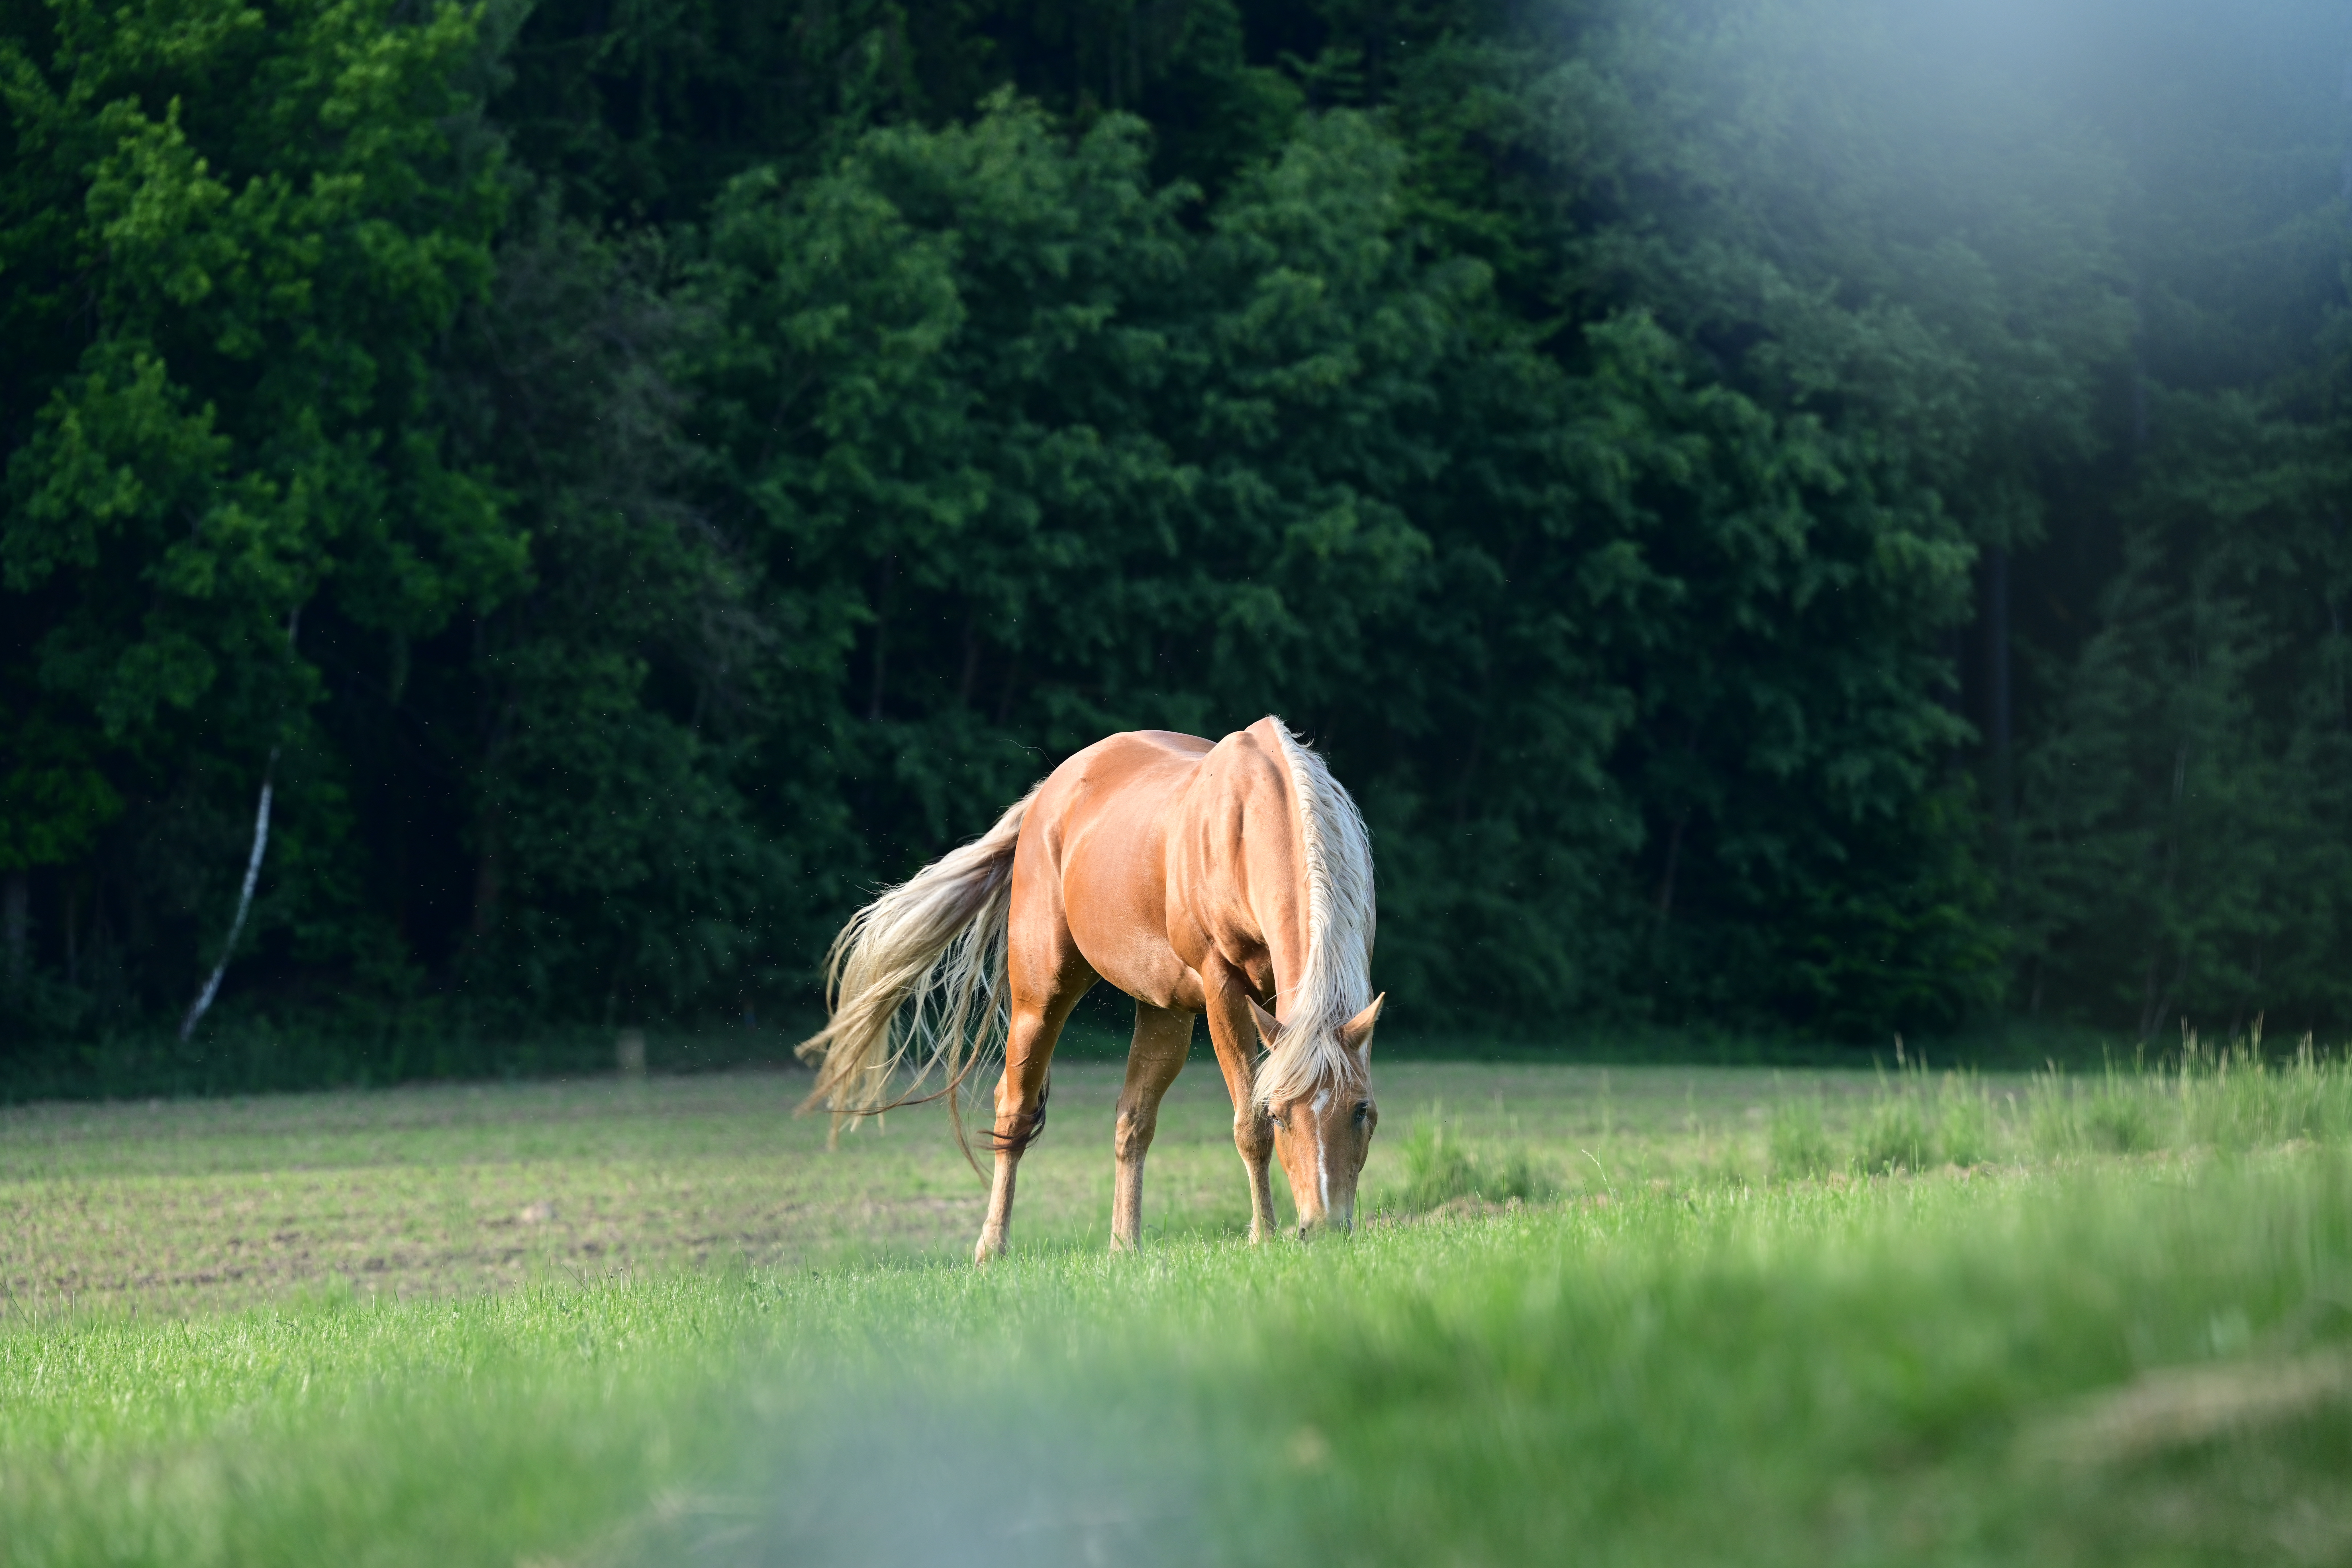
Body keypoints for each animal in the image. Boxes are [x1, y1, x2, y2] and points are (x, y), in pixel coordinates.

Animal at [797, 717, 1384, 1260]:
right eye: (1281, 1114)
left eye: (1361, 1109)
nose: (1324, 1228)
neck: (1252, 817)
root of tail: (1049, 793)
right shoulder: (1224, 990)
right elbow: (1248, 1124)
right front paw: (1263, 1237)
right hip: (1041, 996)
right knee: (1014, 1112)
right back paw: (992, 1247)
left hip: (1164, 1009)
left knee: (1132, 1120)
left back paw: (1125, 1246)